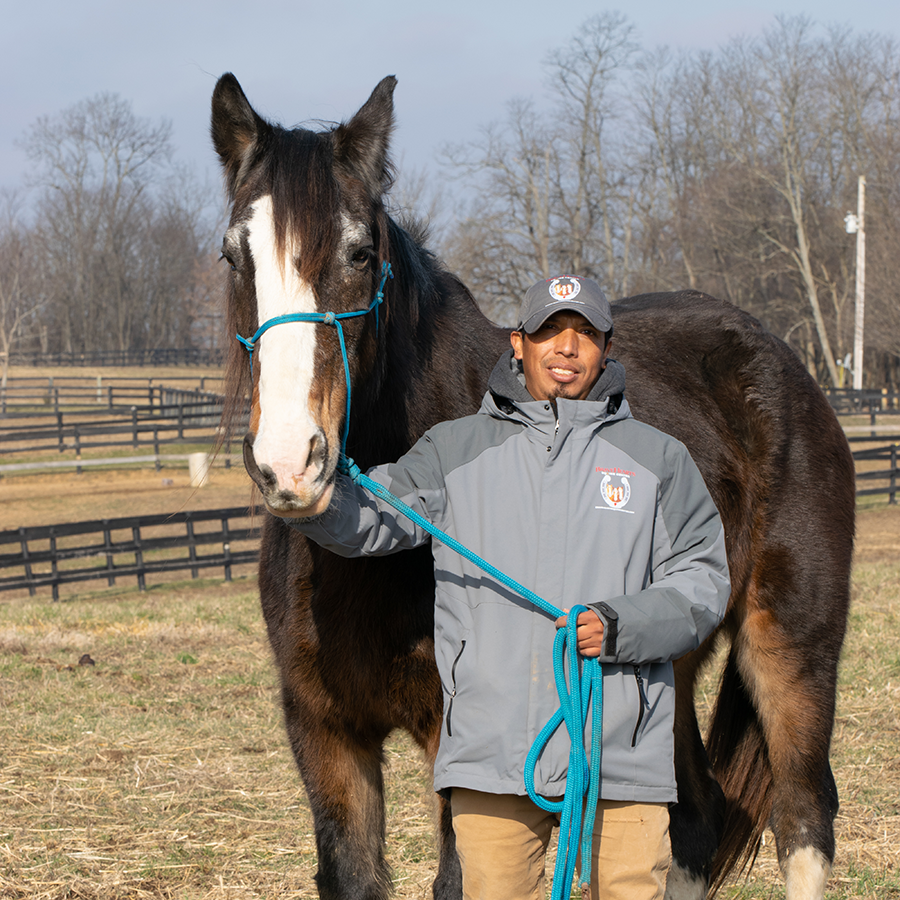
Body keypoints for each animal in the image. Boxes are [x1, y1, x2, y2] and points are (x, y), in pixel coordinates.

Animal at [209, 72, 852, 900]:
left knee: (803, 819)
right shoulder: (326, 733)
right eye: (235, 256)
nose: (292, 463)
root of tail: (782, 362)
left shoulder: (461, 747)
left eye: (359, 251)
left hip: (792, 644)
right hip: (657, 671)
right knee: (693, 824)